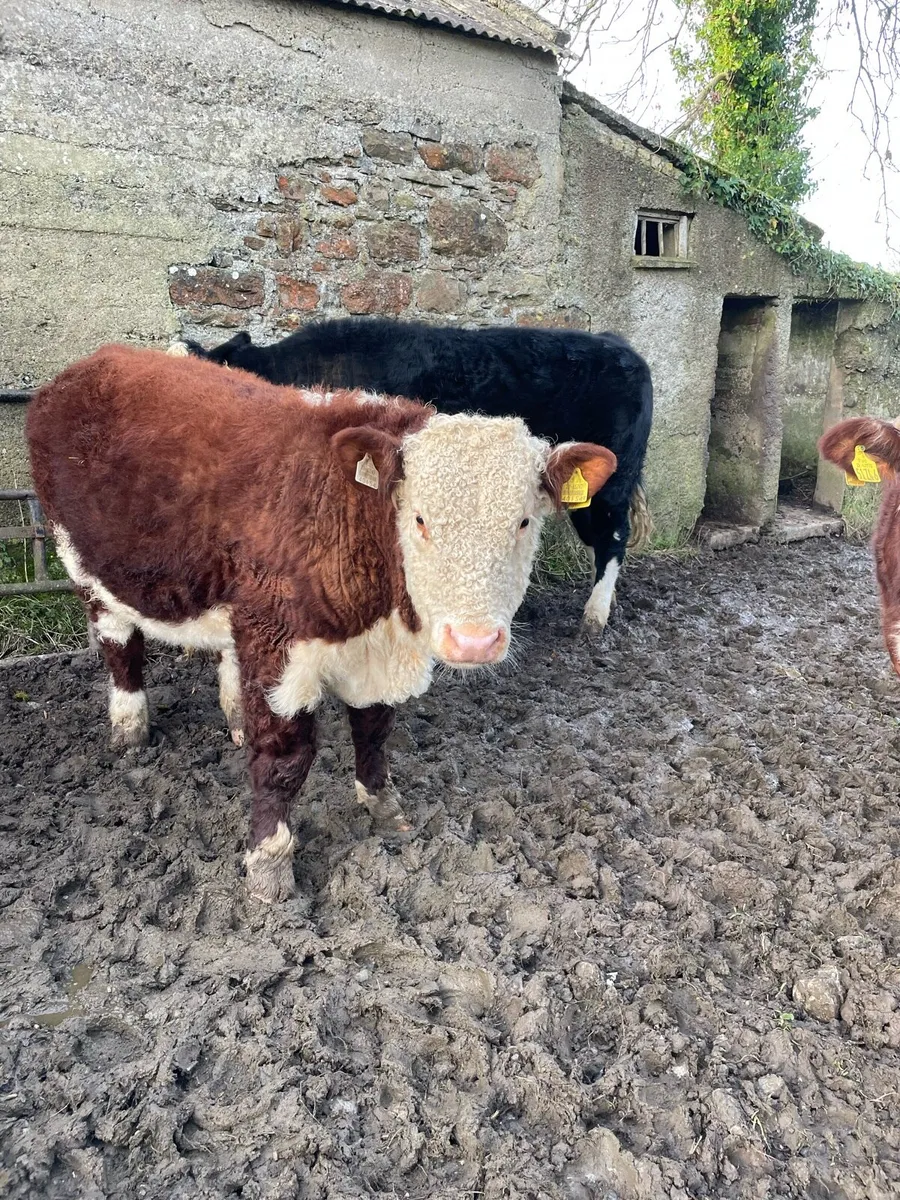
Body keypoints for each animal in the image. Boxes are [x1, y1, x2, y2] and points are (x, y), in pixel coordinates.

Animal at [27, 346, 616, 902]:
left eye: (523, 522)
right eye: (420, 519)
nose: (474, 641)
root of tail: (101, 359)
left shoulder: (364, 650)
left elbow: (374, 730)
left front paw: (383, 807)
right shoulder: (278, 644)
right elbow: (285, 758)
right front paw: (269, 866)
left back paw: (233, 717)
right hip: (86, 567)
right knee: (119, 648)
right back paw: (130, 729)